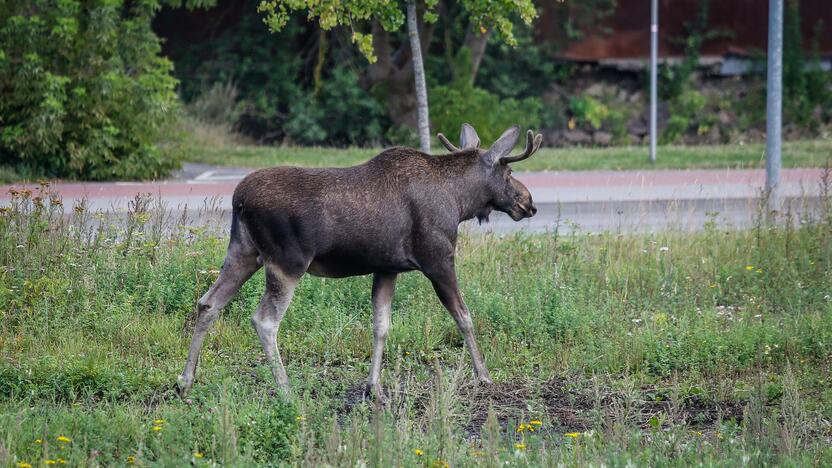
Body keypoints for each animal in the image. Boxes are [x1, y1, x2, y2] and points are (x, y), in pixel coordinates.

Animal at [176, 123, 544, 398]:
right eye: (509, 171)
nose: (529, 203)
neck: (459, 201)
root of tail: (238, 199)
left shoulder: (387, 268)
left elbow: (381, 326)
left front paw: (373, 386)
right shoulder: (438, 259)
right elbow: (464, 317)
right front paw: (484, 375)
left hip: (243, 252)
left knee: (208, 303)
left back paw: (185, 380)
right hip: (287, 261)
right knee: (264, 320)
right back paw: (285, 388)